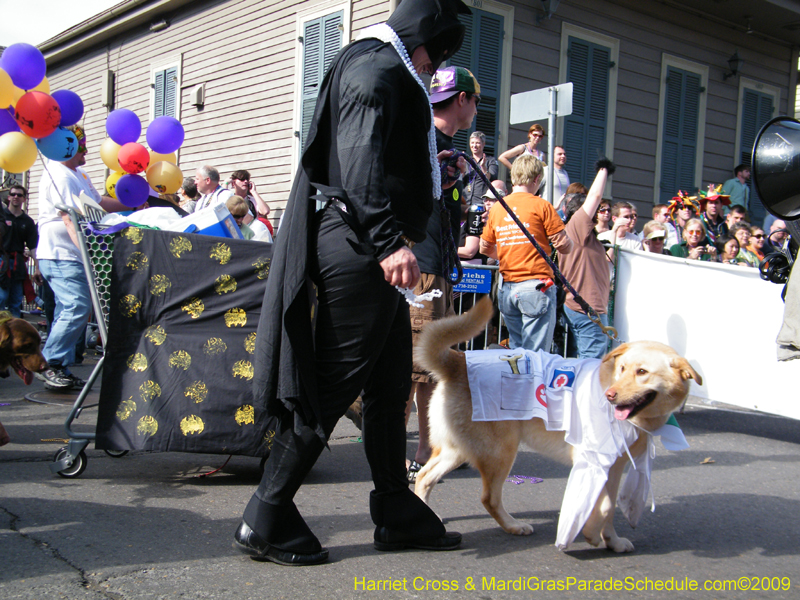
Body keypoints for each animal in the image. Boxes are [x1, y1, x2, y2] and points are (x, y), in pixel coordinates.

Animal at [412, 296, 700, 552]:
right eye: (623, 369)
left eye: (642, 372)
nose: (610, 395)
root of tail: (457, 361)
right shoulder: (594, 462)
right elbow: (603, 506)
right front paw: (591, 534)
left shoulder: (614, 468)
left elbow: (609, 508)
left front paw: (613, 542)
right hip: (500, 452)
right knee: (489, 498)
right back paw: (513, 526)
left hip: (458, 450)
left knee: (425, 476)